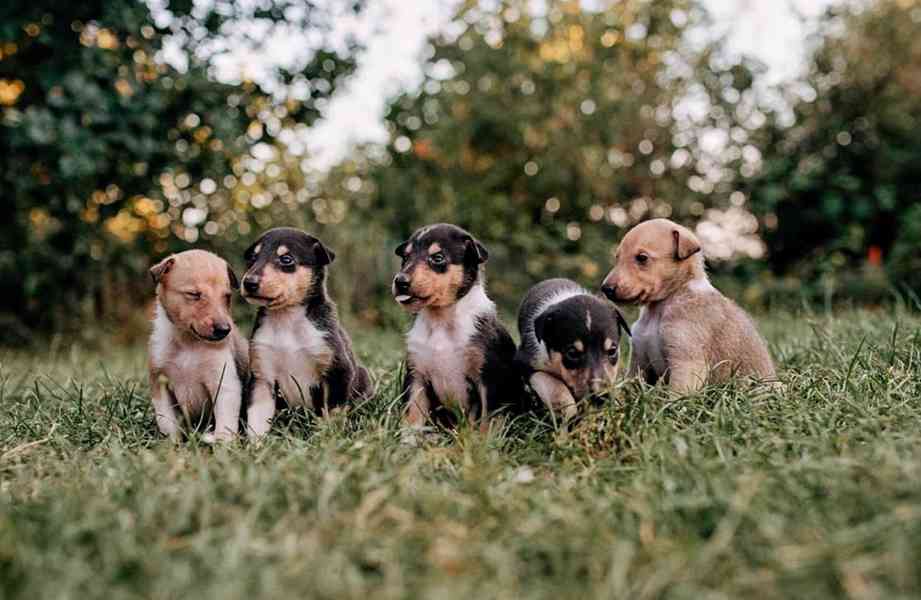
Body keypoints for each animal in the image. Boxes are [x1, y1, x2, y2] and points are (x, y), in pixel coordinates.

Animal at [146, 248, 244, 440]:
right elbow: (168, 422)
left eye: (227, 296)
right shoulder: (160, 383)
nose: (224, 330)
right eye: (194, 294)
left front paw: (223, 444)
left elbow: (225, 423)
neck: (188, 343)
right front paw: (172, 444)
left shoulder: (224, 382)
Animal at [241, 227, 370, 438]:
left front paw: (328, 439)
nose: (248, 282)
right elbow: (256, 421)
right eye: (252, 257)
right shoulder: (262, 377)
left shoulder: (337, 371)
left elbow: (332, 415)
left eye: (286, 259)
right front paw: (255, 444)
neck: (287, 320)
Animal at [388, 223, 516, 428]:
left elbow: (486, 423)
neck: (441, 320)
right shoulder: (416, 377)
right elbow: (412, 417)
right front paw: (407, 437)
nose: (400, 281)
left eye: (437, 258)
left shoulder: (488, 379)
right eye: (405, 258)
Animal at [512, 278, 628, 420]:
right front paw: (568, 411)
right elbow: (553, 384)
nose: (601, 397)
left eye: (612, 351)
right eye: (572, 353)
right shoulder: (525, 361)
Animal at [600, 218, 772, 392]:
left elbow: (676, 394)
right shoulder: (639, 362)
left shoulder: (687, 362)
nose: (606, 289)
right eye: (617, 257)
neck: (660, 308)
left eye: (642, 258)